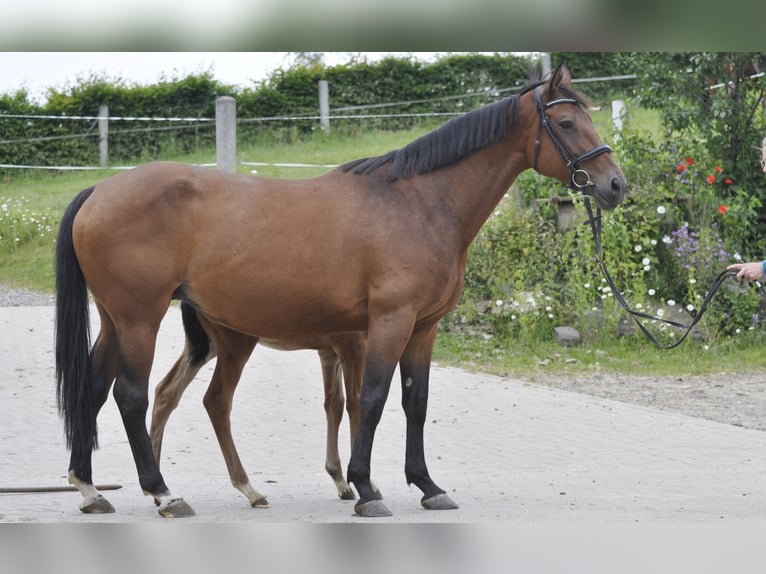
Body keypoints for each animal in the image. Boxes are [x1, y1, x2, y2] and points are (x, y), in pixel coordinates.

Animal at [149, 302, 368, 505]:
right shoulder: (352, 345)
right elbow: (357, 404)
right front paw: (365, 484)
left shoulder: (329, 353)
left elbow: (334, 404)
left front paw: (340, 479)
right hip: (235, 346)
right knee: (216, 400)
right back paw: (248, 488)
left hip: (206, 346)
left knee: (165, 393)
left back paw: (159, 491)